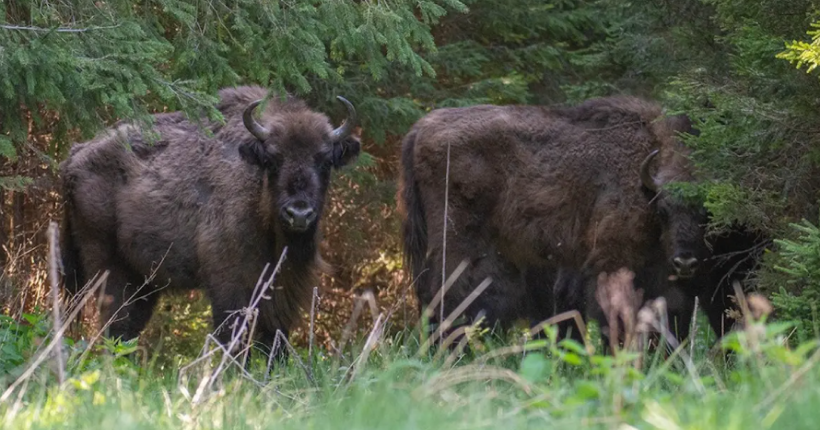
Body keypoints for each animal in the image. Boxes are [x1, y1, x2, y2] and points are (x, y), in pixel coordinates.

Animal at [400, 95, 708, 340]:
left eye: (705, 211)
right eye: (663, 209)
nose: (685, 261)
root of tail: (420, 129)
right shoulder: (612, 259)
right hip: (457, 244)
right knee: (446, 294)